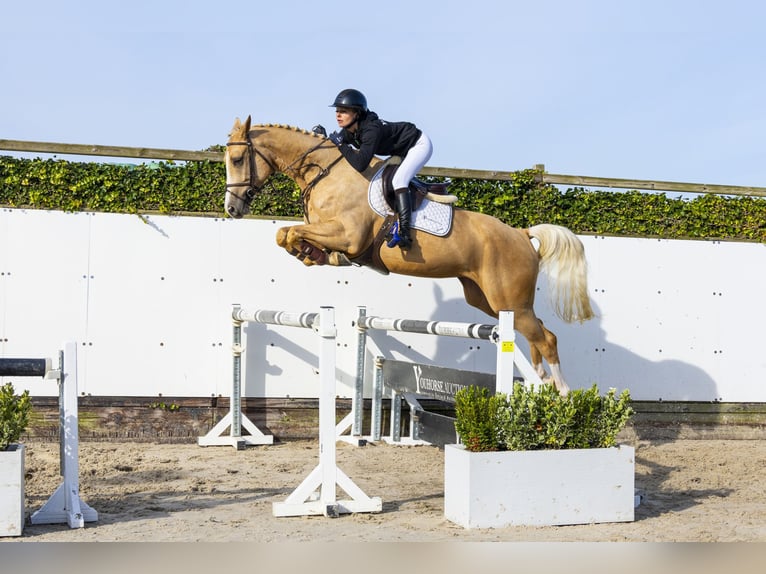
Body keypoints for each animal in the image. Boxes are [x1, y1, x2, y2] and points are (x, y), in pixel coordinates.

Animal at [225, 117, 596, 396]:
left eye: (238, 160)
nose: (231, 209)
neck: (325, 172)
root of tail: (520, 233)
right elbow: (285, 234)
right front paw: (310, 254)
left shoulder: (348, 235)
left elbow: (290, 233)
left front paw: (311, 251)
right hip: (491, 300)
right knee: (537, 331)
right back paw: (543, 381)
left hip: (508, 299)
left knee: (546, 337)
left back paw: (562, 392)